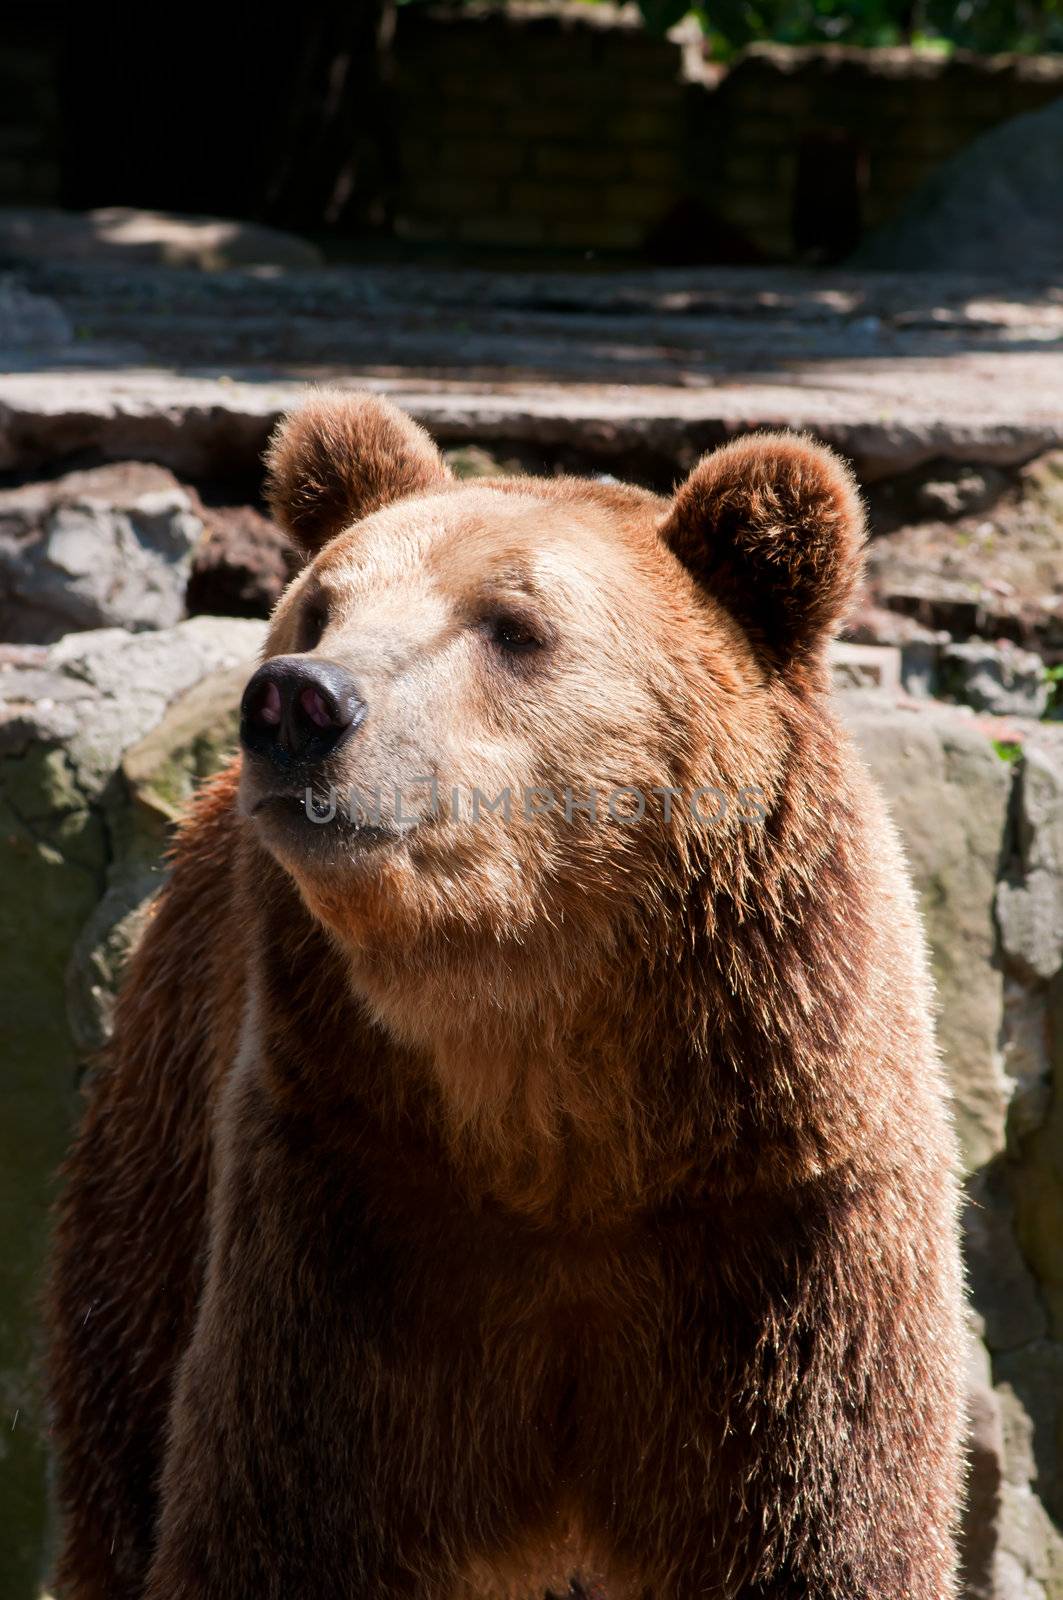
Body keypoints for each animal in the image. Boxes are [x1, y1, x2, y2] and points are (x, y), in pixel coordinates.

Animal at [47, 393, 960, 1600]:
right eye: (318, 608)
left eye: (514, 624)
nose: (298, 700)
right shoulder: (350, 1210)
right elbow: (281, 1519)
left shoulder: (787, 1235)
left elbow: (820, 1532)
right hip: (162, 1151)